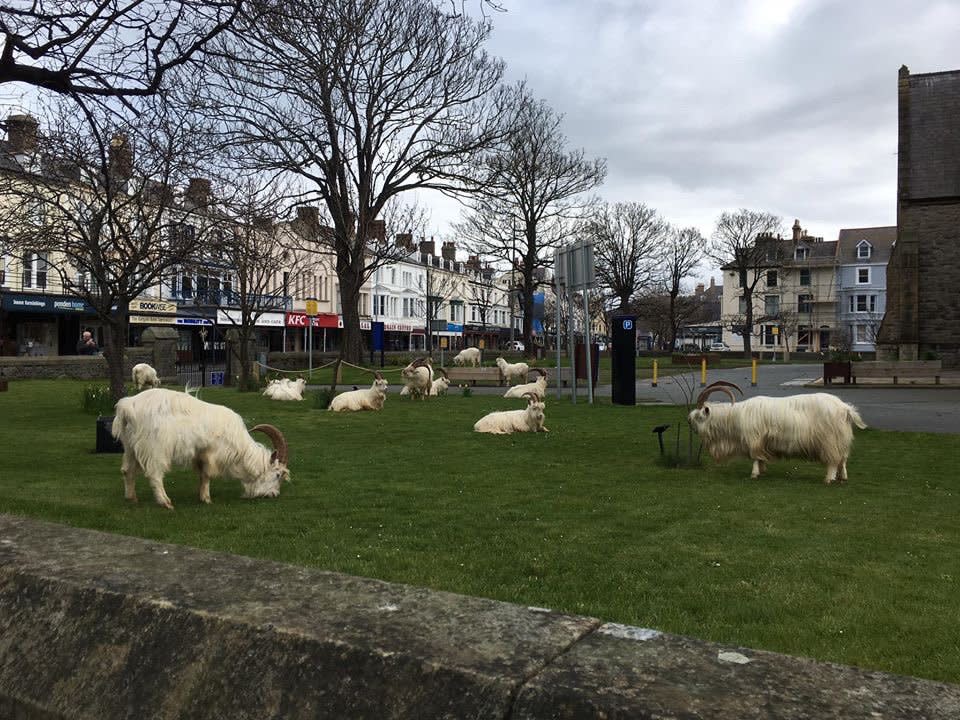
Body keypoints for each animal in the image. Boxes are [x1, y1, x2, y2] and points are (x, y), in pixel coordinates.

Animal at [112, 388, 288, 506]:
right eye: (277, 474)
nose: (274, 495)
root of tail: (127, 407)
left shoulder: (200, 454)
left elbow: (202, 476)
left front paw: (201, 496)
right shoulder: (211, 454)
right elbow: (207, 475)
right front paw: (207, 499)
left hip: (130, 447)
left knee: (127, 470)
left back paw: (131, 498)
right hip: (155, 448)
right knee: (154, 474)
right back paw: (165, 502)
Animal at [688, 382, 872, 484]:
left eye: (698, 416)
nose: (690, 424)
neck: (736, 415)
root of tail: (845, 408)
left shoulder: (754, 439)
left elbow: (755, 457)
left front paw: (754, 474)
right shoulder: (762, 441)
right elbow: (761, 458)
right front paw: (763, 471)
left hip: (830, 440)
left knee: (833, 461)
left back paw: (828, 479)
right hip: (842, 439)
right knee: (843, 460)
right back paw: (843, 478)